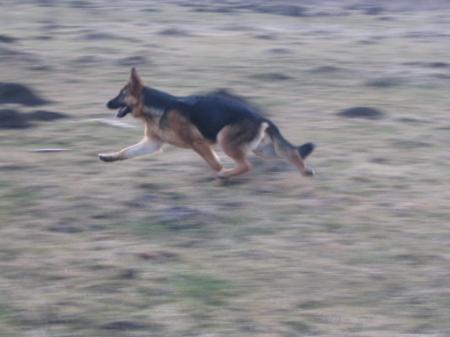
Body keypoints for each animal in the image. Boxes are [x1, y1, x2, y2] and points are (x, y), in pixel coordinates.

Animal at [100, 67, 314, 180]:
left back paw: (226, 175)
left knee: (246, 166)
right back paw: (306, 171)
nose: (106, 103)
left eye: (121, 94)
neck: (157, 107)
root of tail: (260, 116)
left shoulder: (198, 143)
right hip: (263, 150)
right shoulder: (151, 143)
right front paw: (109, 157)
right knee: (291, 153)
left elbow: (215, 164)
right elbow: (126, 152)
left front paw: (220, 174)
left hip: (226, 139)